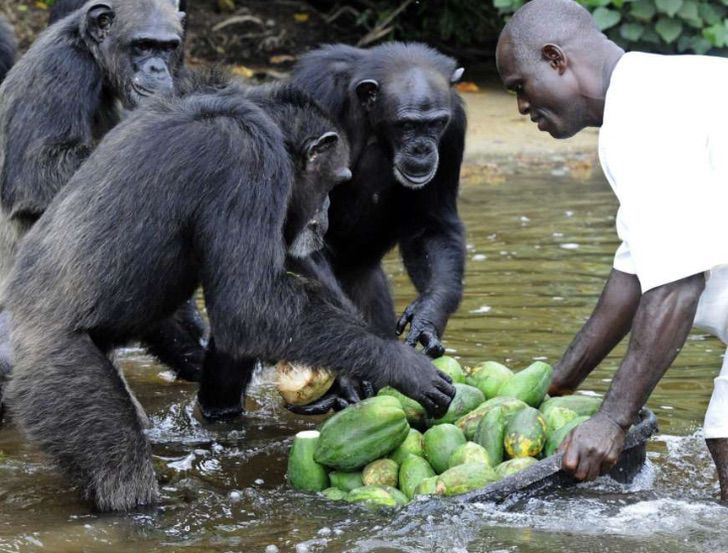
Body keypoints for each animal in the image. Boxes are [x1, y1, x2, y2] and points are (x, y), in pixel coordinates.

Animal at [0, 0, 202, 408]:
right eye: (143, 45)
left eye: (168, 47)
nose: (157, 68)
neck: (93, 56)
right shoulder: (62, 71)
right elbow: (42, 166)